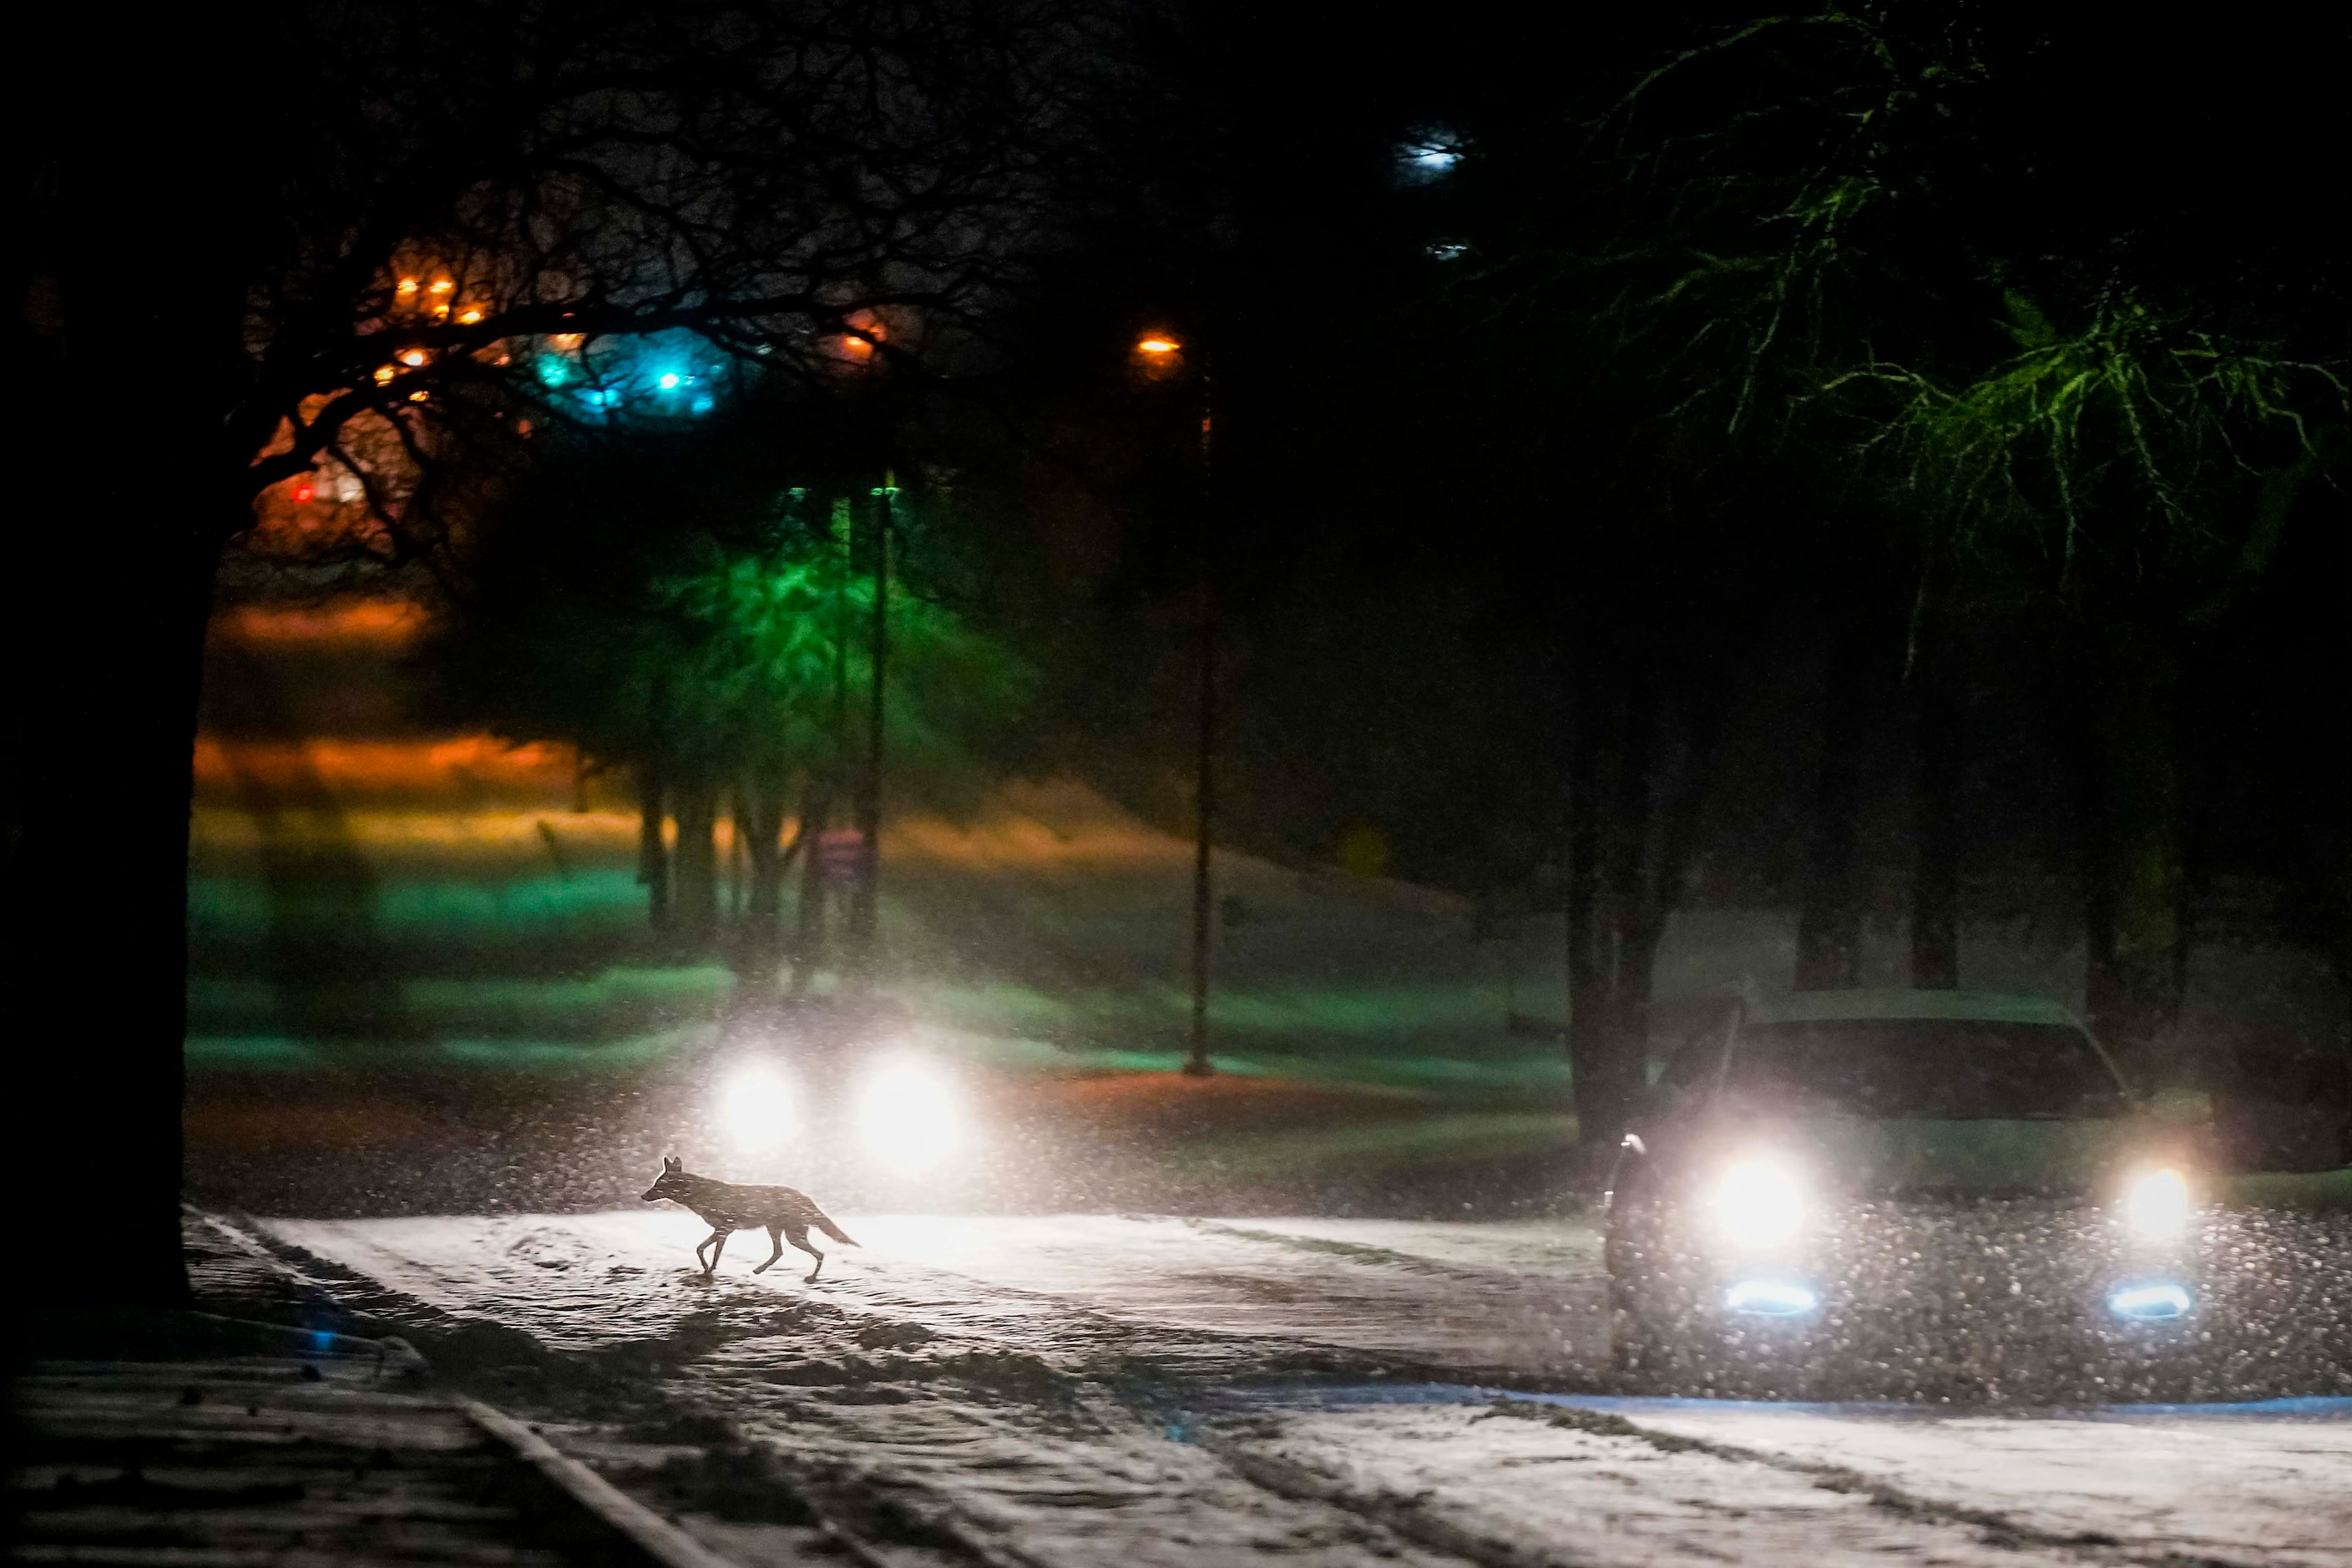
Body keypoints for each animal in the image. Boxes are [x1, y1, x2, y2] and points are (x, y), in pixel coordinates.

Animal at [640, 1161, 861, 1278]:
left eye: (657, 1185)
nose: (642, 1196)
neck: (699, 1195)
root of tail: (804, 1196)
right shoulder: (722, 1232)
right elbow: (705, 1251)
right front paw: (708, 1270)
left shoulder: (724, 1230)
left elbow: (706, 1251)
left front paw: (709, 1271)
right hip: (777, 1232)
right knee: (780, 1253)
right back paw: (759, 1270)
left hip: (792, 1237)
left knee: (819, 1254)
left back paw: (811, 1278)